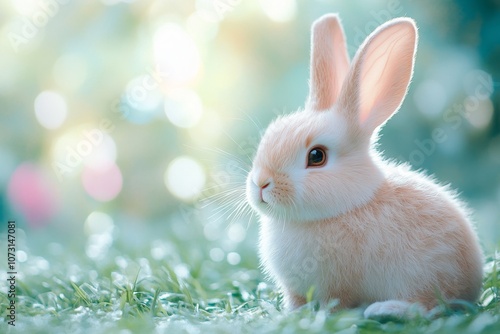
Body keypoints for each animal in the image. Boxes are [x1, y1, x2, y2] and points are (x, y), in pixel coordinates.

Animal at [246, 13, 484, 318]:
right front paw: (290, 313)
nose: (261, 183)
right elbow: (296, 302)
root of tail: (471, 286)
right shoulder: (296, 290)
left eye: (316, 156)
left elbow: (335, 302)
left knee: (427, 307)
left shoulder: (337, 285)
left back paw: (385, 310)